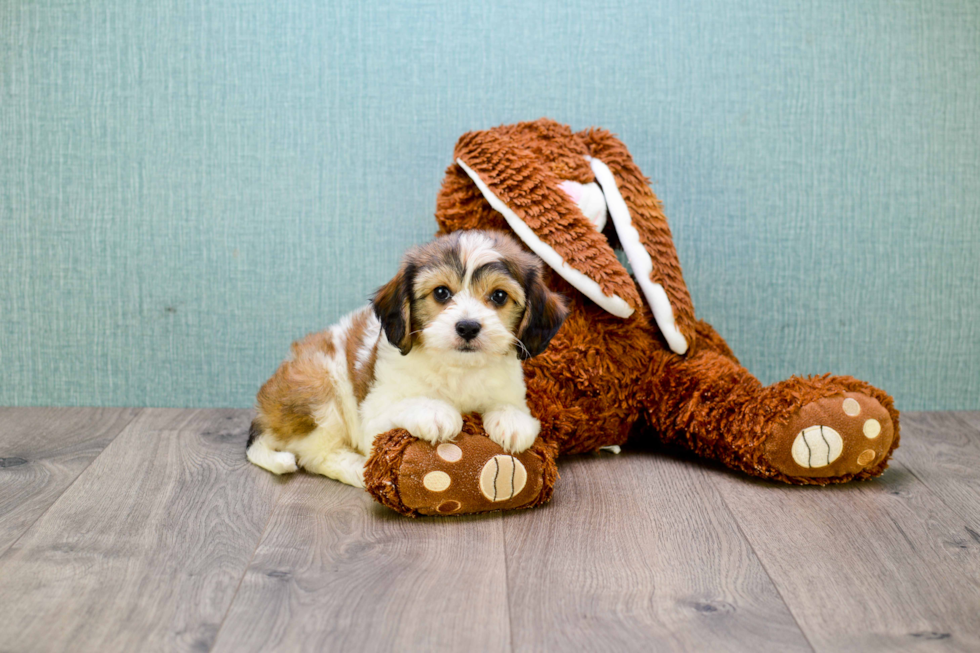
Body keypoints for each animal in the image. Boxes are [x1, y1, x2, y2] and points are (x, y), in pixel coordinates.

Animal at [244, 229, 568, 484]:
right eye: (441, 293)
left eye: (499, 296)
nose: (467, 327)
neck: (458, 370)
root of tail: (264, 409)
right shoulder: (372, 416)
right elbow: (407, 404)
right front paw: (435, 412)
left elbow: (509, 406)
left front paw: (512, 420)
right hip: (319, 388)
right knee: (314, 454)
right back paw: (357, 469)